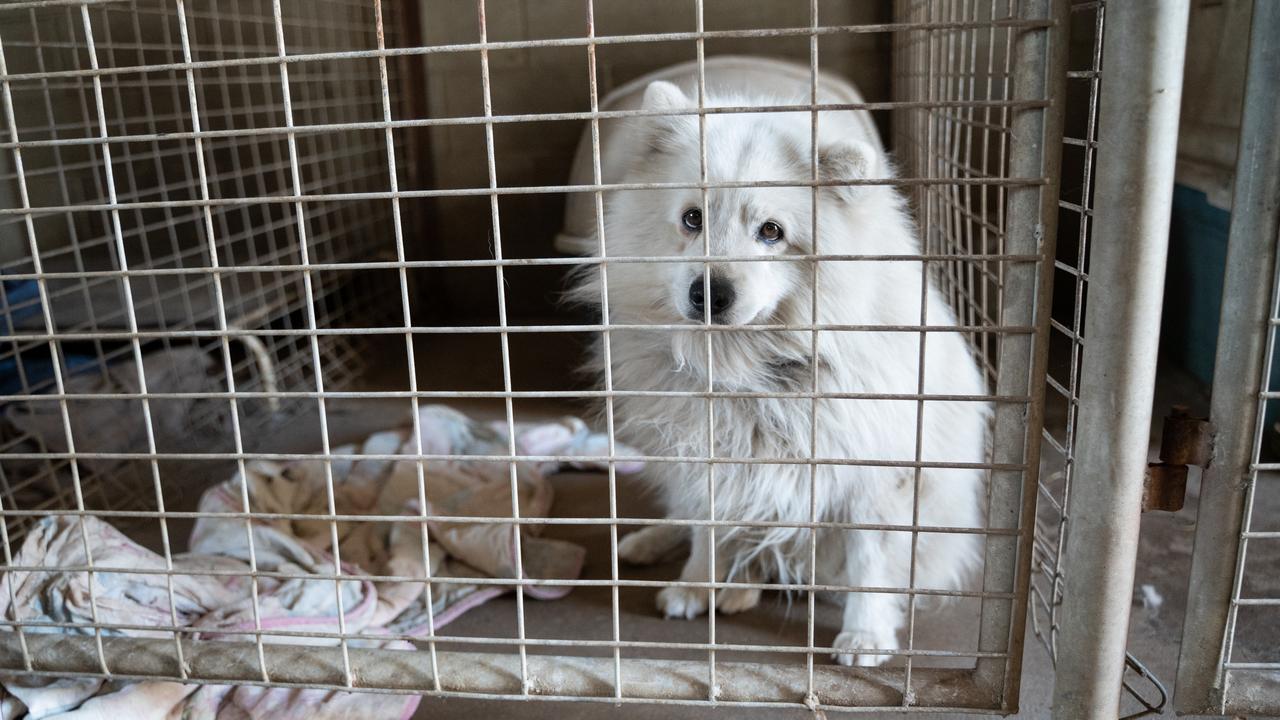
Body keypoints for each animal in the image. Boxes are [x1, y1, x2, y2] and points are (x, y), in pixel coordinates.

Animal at [558, 57, 988, 666]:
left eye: (771, 232)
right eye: (692, 219)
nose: (709, 293)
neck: (750, 367)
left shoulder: (875, 476)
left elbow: (870, 561)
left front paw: (865, 635)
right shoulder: (706, 456)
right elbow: (707, 528)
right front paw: (696, 585)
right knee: (683, 516)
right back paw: (651, 542)